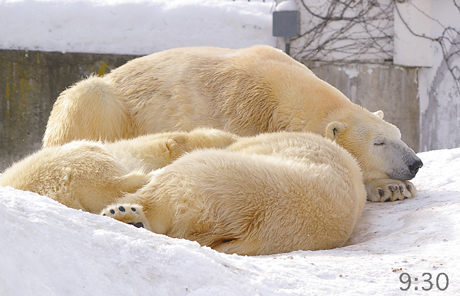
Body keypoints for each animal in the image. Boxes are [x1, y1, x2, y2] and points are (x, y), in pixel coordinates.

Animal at [43, 45, 424, 202]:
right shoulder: (239, 113)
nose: (415, 163)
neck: (280, 94)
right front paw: (388, 186)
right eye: (377, 142)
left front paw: (392, 188)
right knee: (90, 96)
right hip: (102, 103)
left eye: (398, 134)